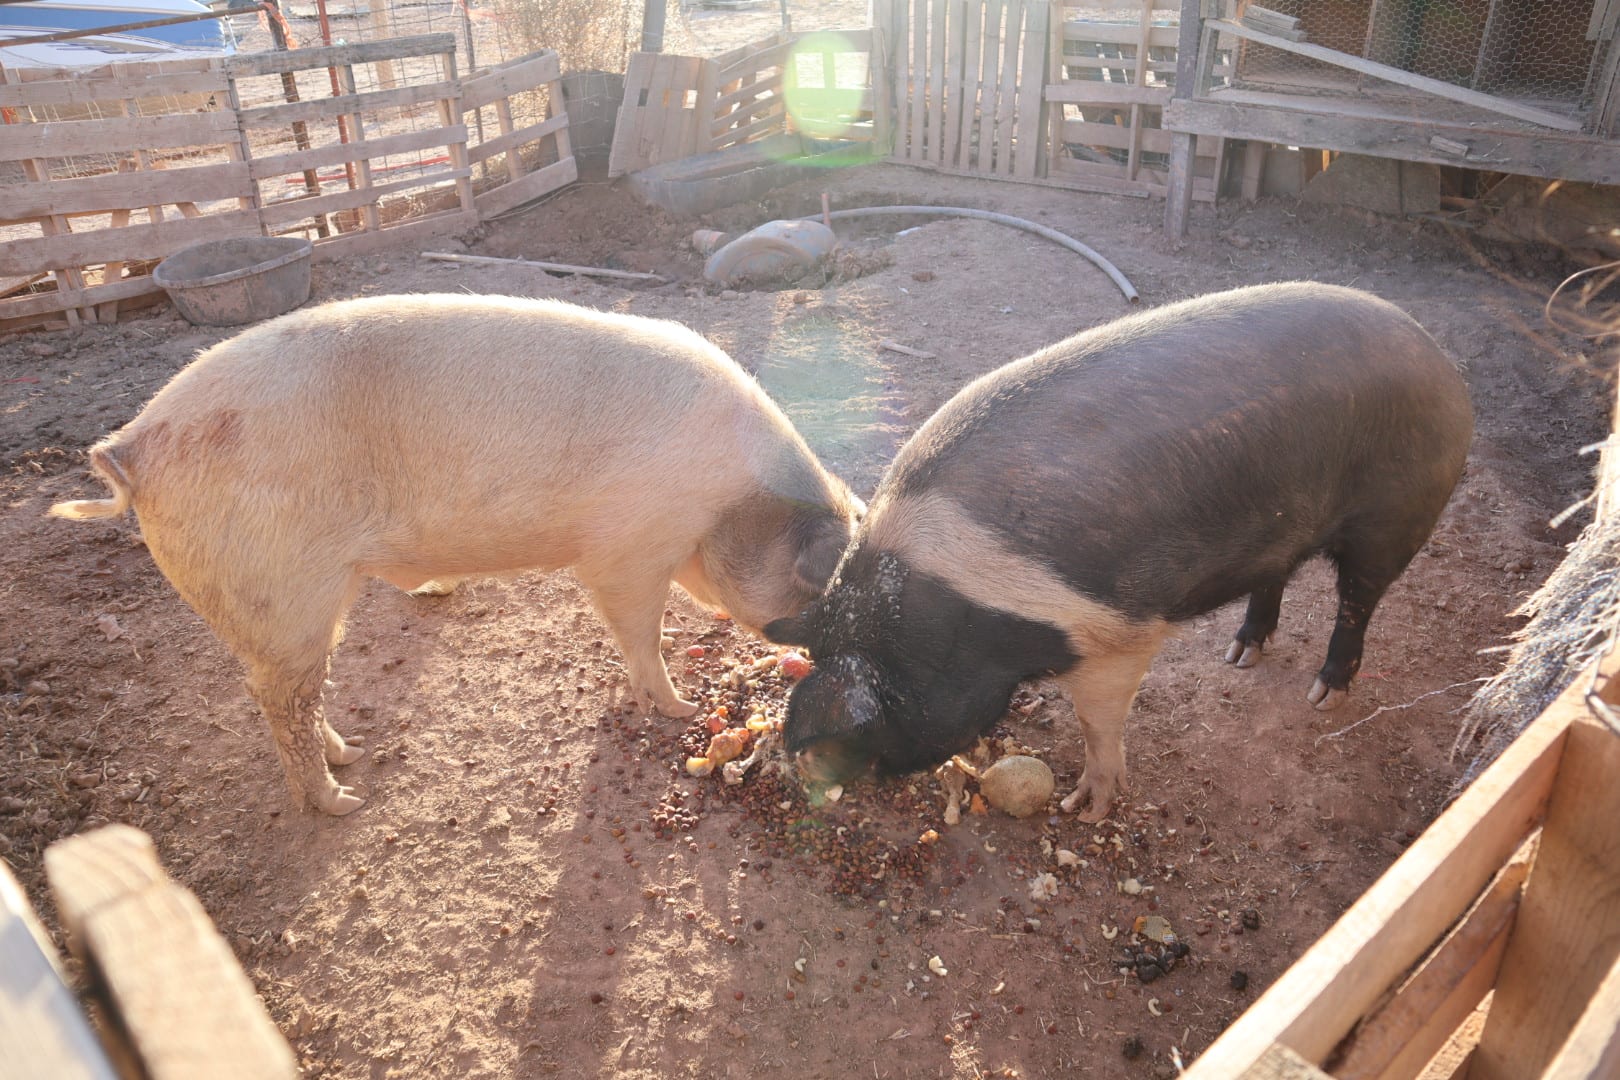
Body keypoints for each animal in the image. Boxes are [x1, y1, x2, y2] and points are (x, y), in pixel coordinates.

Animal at [51, 293, 863, 816]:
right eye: (817, 591)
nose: (815, 663)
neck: (728, 501)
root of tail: (130, 448)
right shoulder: (627, 548)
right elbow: (640, 630)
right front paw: (682, 707)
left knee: (295, 693)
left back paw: (350, 758)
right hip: (279, 592)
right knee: (282, 701)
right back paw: (343, 801)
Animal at [765, 282, 1474, 822]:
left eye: (873, 723)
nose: (808, 777)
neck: (953, 616)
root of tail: (1441, 359)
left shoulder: (1115, 630)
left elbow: (1096, 720)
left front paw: (1086, 808)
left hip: (1397, 513)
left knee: (1358, 601)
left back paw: (1323, 694)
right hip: (1283, 529)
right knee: (1276, 578)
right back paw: (1239, 654)